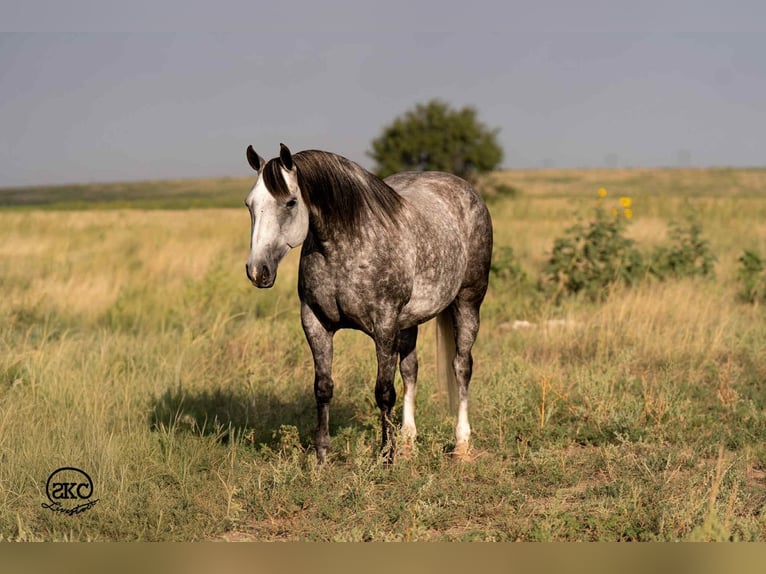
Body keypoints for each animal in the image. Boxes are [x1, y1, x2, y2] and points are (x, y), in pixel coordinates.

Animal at [244, 143, 493, 463]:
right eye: (250, 204)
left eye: (290, 203)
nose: (257, 271)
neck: (344, 247)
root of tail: (466, 189)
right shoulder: (315, 322)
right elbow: (323, 387)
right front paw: (322, 455)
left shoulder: (384, 326)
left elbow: (384, 391)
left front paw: (386, 455)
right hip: (408, 321)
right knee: (410, 370)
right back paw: (408, 443)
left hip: (467, 302)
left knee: (461, 367)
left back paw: (460, 444)